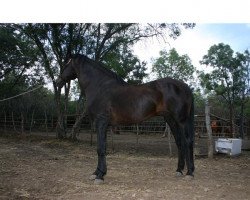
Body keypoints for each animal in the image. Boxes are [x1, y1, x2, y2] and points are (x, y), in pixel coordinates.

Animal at [56, 54, 195, 184]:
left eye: (66, 64)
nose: (57, 82)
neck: (99, 87)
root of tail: (185, 86)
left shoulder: (101, 122)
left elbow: (100, 148)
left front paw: (100, 176)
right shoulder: (103, 124)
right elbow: (102, 147)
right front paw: (96, 173)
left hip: (181, 120)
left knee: (187, 142)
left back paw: (190, 173)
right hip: (171, 120)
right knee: (180, 142)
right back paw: (179, 170)